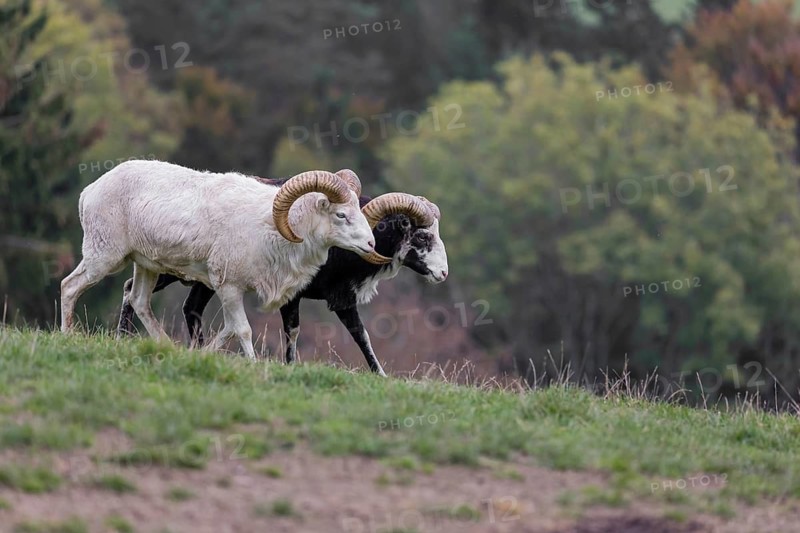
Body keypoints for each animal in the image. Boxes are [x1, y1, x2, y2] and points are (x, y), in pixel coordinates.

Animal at [61, 160, 389, 360]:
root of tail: (90, 190)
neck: (269, 228)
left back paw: (166, 346)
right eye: (341, 214)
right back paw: (67, 335)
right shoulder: (228, 286)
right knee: (69, 286)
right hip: (104, 256)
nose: (370, 243)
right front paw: (254, 366)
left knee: (138, 300)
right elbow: (242, 330)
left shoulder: (233, 290)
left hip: (145, 265)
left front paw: (204, 355)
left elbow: (229, 329)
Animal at [117, 178, 448, 376]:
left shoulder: (335, 296)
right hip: (171, 268)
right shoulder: (303, 293)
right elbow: (300, 331)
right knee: (132, 289)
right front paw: (292, 366)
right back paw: (121, 338)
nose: (443, 273)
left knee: (186, 306)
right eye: (421, 236)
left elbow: (358, 334)